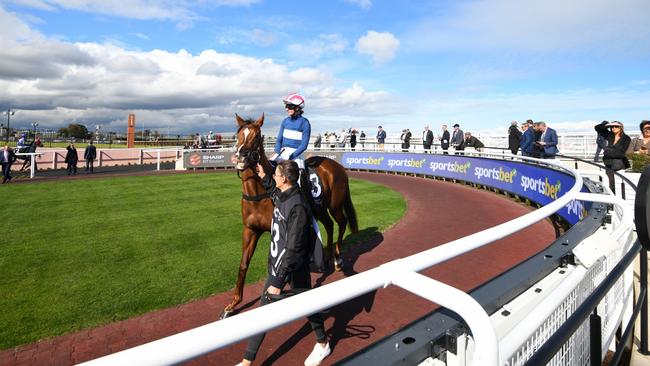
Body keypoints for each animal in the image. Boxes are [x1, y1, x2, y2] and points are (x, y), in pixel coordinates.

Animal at [220, 114, 356, 318]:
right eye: (238, 135)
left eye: (257, 136)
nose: (241, 156)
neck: (260, 192)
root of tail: (336, 165)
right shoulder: (250, 230)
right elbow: (243, 263)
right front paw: (233, 304)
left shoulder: (278, 229)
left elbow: (281, 261)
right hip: (320, 208)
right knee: (329, 225)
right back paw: (325, 259)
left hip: (335, 206)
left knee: (341, 222)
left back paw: (337, 259)